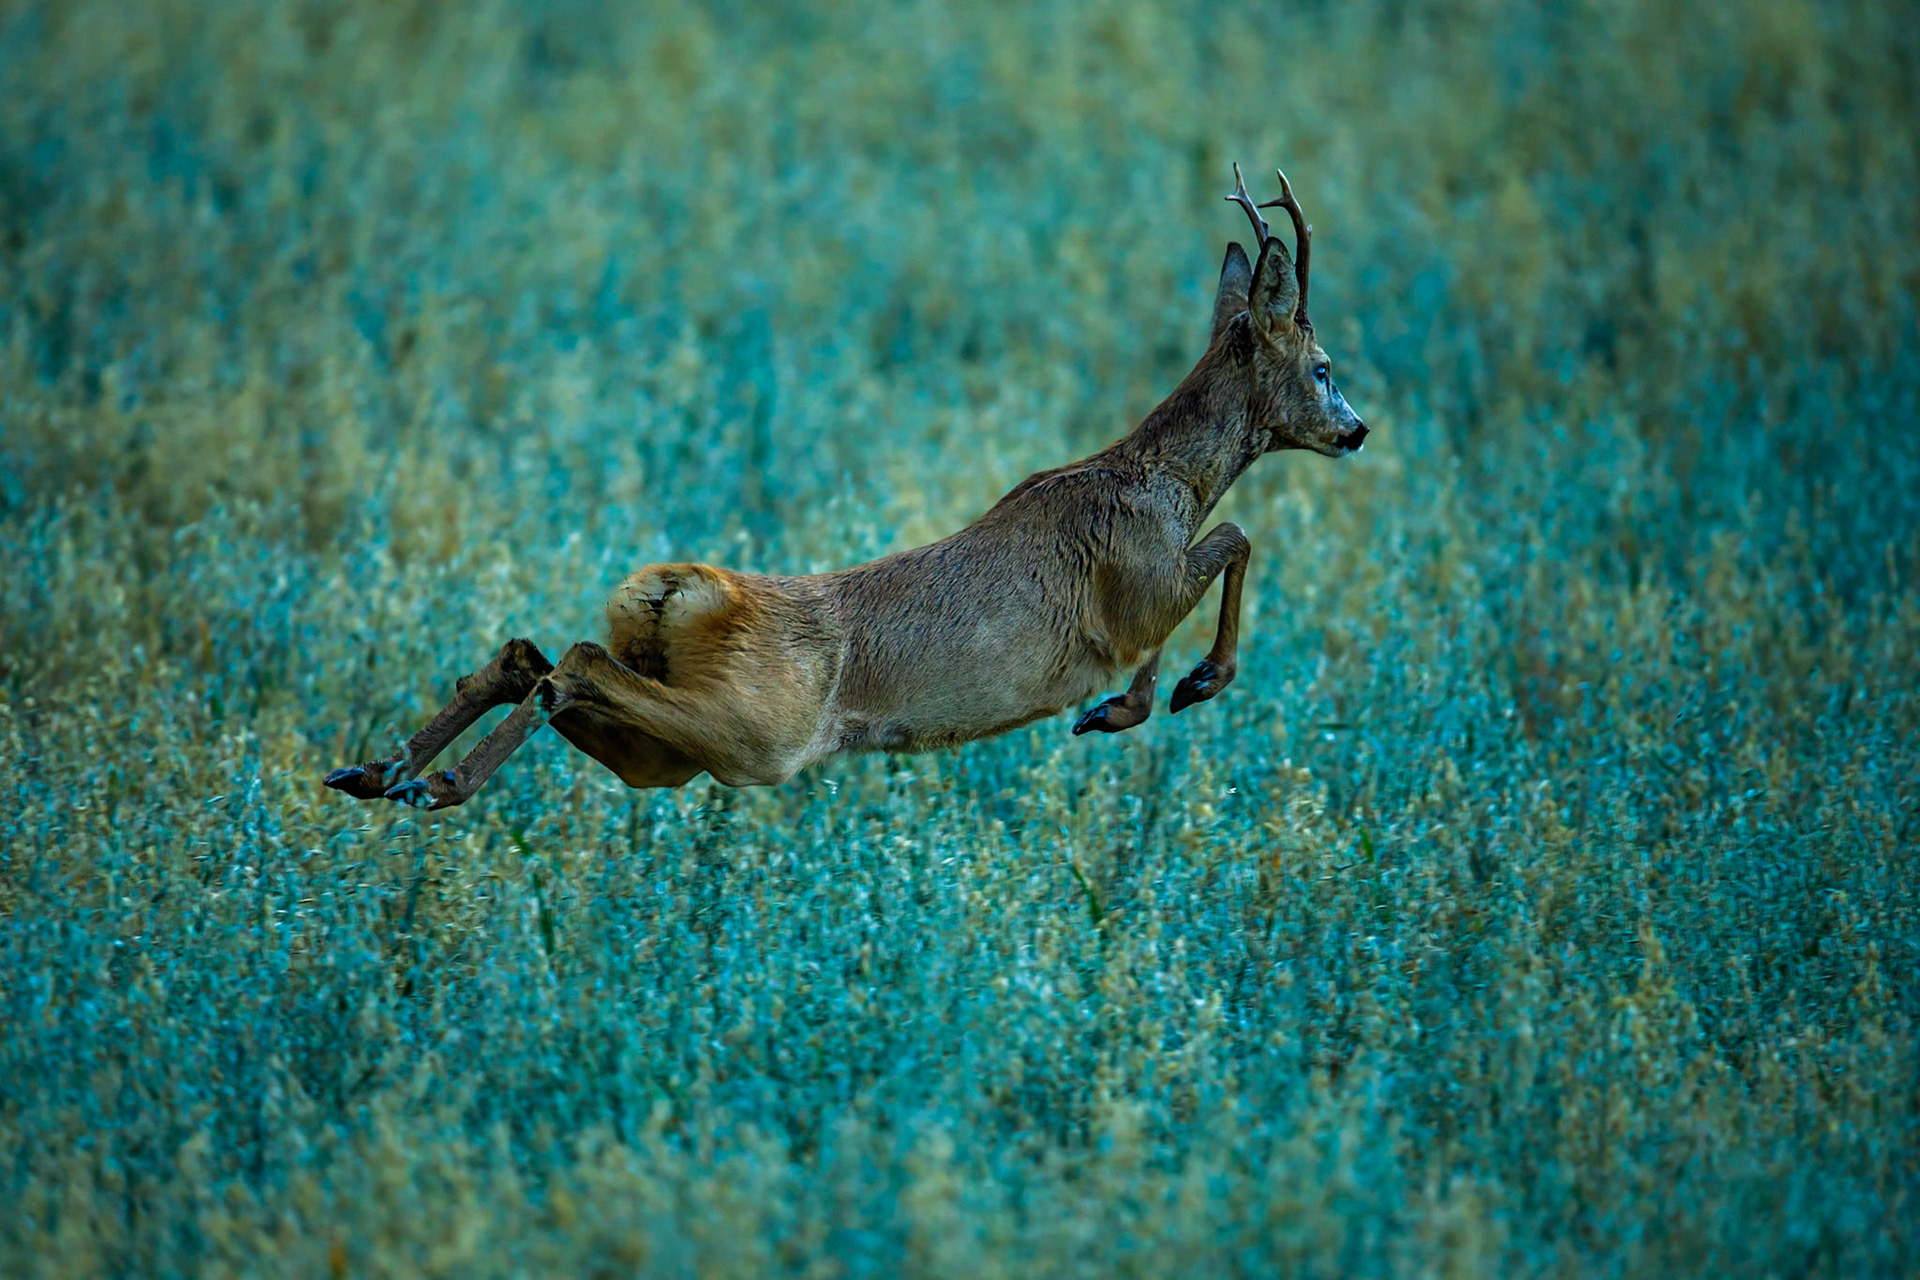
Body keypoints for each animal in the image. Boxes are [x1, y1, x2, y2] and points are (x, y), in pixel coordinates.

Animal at [324, 164, 1367, 810]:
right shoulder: (1139, 584)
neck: (1166, 481)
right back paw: (429, 784)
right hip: (757, 734)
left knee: (533, 656)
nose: (1356, 430)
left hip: (671, 757)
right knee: (569, 664)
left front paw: (1129, 704)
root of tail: (673, 591)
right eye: (1324, 367)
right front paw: (1181, 688)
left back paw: (380, 772)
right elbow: (1233, 544)